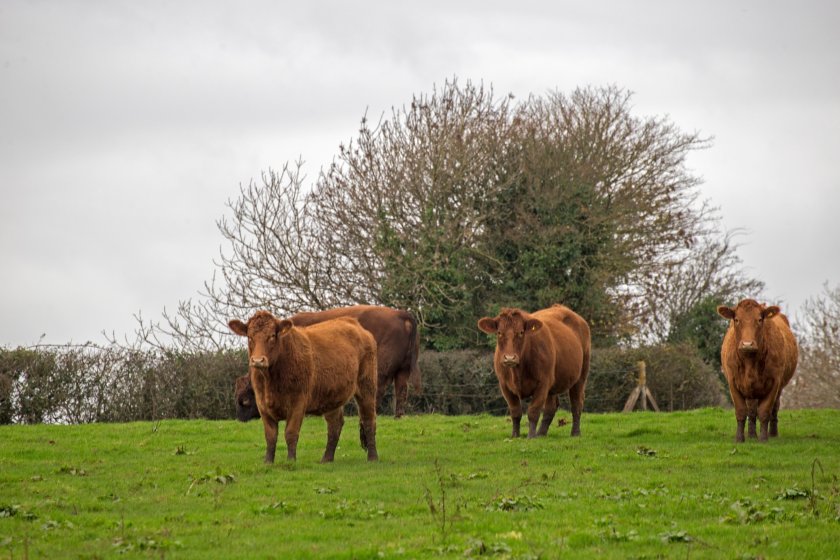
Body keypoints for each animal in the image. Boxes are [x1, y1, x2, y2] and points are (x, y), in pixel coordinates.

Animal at [226, 310, 378, 464]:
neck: (270, 382)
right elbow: (270, 436)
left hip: (367, 387)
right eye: (249, 337)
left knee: (368, 420)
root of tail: (353, 323)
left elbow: (291, 433)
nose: (258, 360)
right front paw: (268, 462)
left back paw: (373, 457)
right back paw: (326, 459)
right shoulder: (262, 405)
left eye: (272, 336)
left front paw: (290, 460)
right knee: (335, 424)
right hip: (332, 396)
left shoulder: (298, 402)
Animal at [235, 304, 420, 418]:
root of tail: (402, 315)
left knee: (378, 390)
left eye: (245, 400)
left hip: (379, 369)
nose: (240, 418)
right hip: (403, 370)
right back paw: (398, 415)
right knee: (401, 390)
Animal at [480, 304, 592, 440]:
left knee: (576, 403)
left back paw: (575, 432)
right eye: (499, 333)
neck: (517, 371)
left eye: (521, 332)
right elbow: (515, 411)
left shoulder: (543, 383)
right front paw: (515, 435)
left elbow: (533, 410)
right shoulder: (504, 385)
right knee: (551, 407)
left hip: (581, 375)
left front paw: (531, 436)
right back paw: (541, 433)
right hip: (553, 383)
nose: (510, 358)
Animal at [720, 300, 796, 444]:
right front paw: (739, 439)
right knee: (751, 410)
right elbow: (741, 411)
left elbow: (765, 411)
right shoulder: (733, 382)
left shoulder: (775, 382)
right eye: (737, 319)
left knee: (774, 408)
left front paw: (763, 439)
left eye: (760, 319)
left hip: (778, 388)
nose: (747, 344)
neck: (750, 362)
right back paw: (751, 435)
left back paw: (772, 433)